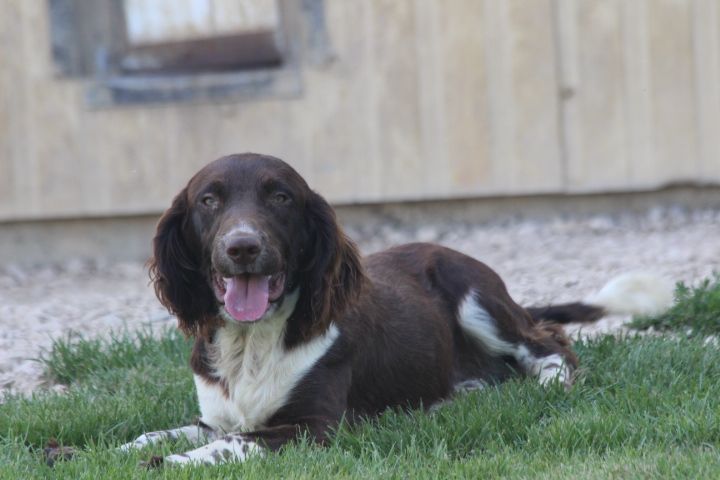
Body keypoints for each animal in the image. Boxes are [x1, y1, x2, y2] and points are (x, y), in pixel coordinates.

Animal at [121, 153, 672, 464]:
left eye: (280, 197)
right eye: (208, 201)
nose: (242, 247)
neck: (251, 341)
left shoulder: (318, 427)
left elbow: (230, 444)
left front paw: (173, 462)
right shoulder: (218, 416)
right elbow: (160, 432)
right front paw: (122, 448)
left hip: (474, 294)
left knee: (550, 342)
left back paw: (549, 384)